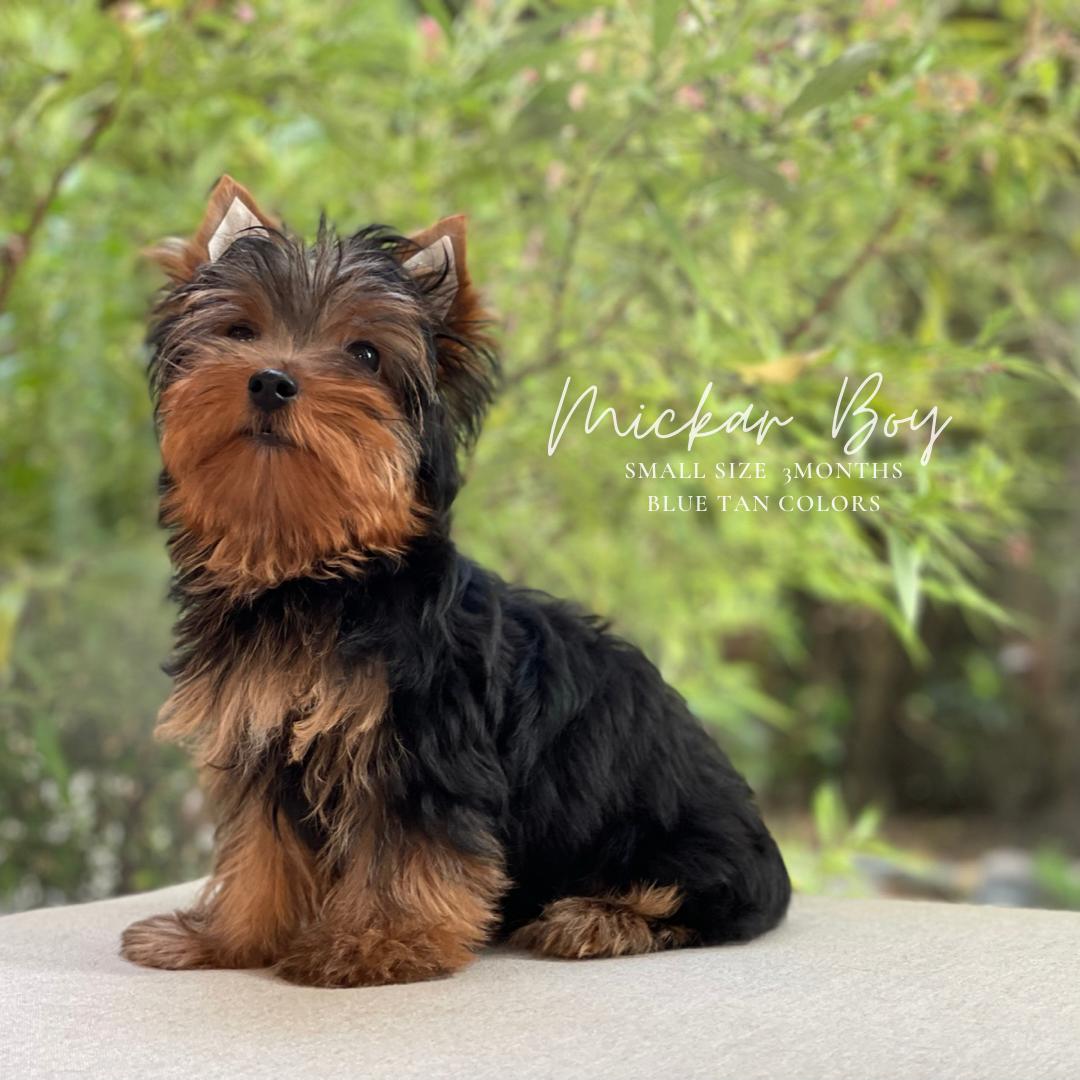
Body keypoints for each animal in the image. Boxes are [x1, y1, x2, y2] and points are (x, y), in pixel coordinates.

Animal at [120, 176, 791, 987]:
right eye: (240, 331)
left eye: (365, 353)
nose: (272, 381)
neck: (314, 572)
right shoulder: (263, 733)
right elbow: (261, 849)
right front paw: (227, 938)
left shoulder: (424, 739)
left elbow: (412, 845)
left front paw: (377, 943)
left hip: (681, 841)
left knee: (694, 899)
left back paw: (597, 919)